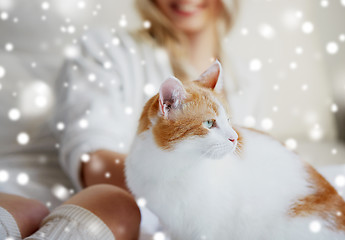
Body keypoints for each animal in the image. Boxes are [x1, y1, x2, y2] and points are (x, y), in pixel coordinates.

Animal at [125, 62, 344, 240]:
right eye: (209, 123)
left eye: (228, 120)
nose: (235, 137)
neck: (171, 166)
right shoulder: (171, 225)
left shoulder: (207, 228)